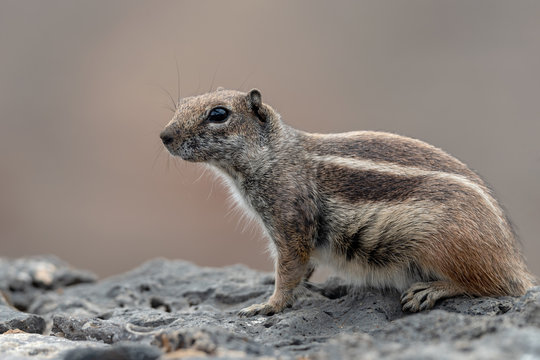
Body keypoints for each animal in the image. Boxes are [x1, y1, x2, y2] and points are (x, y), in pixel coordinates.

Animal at [158, 87, 532, 316]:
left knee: (493, 286)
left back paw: (431, 290)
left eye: (218, 114)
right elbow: (302, 269)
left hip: (445, 245)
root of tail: (513, 261)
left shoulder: (290, 221)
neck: (276, 154)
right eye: (183, 102)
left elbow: (289, 269)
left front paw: (268, 305)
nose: (164, 136)